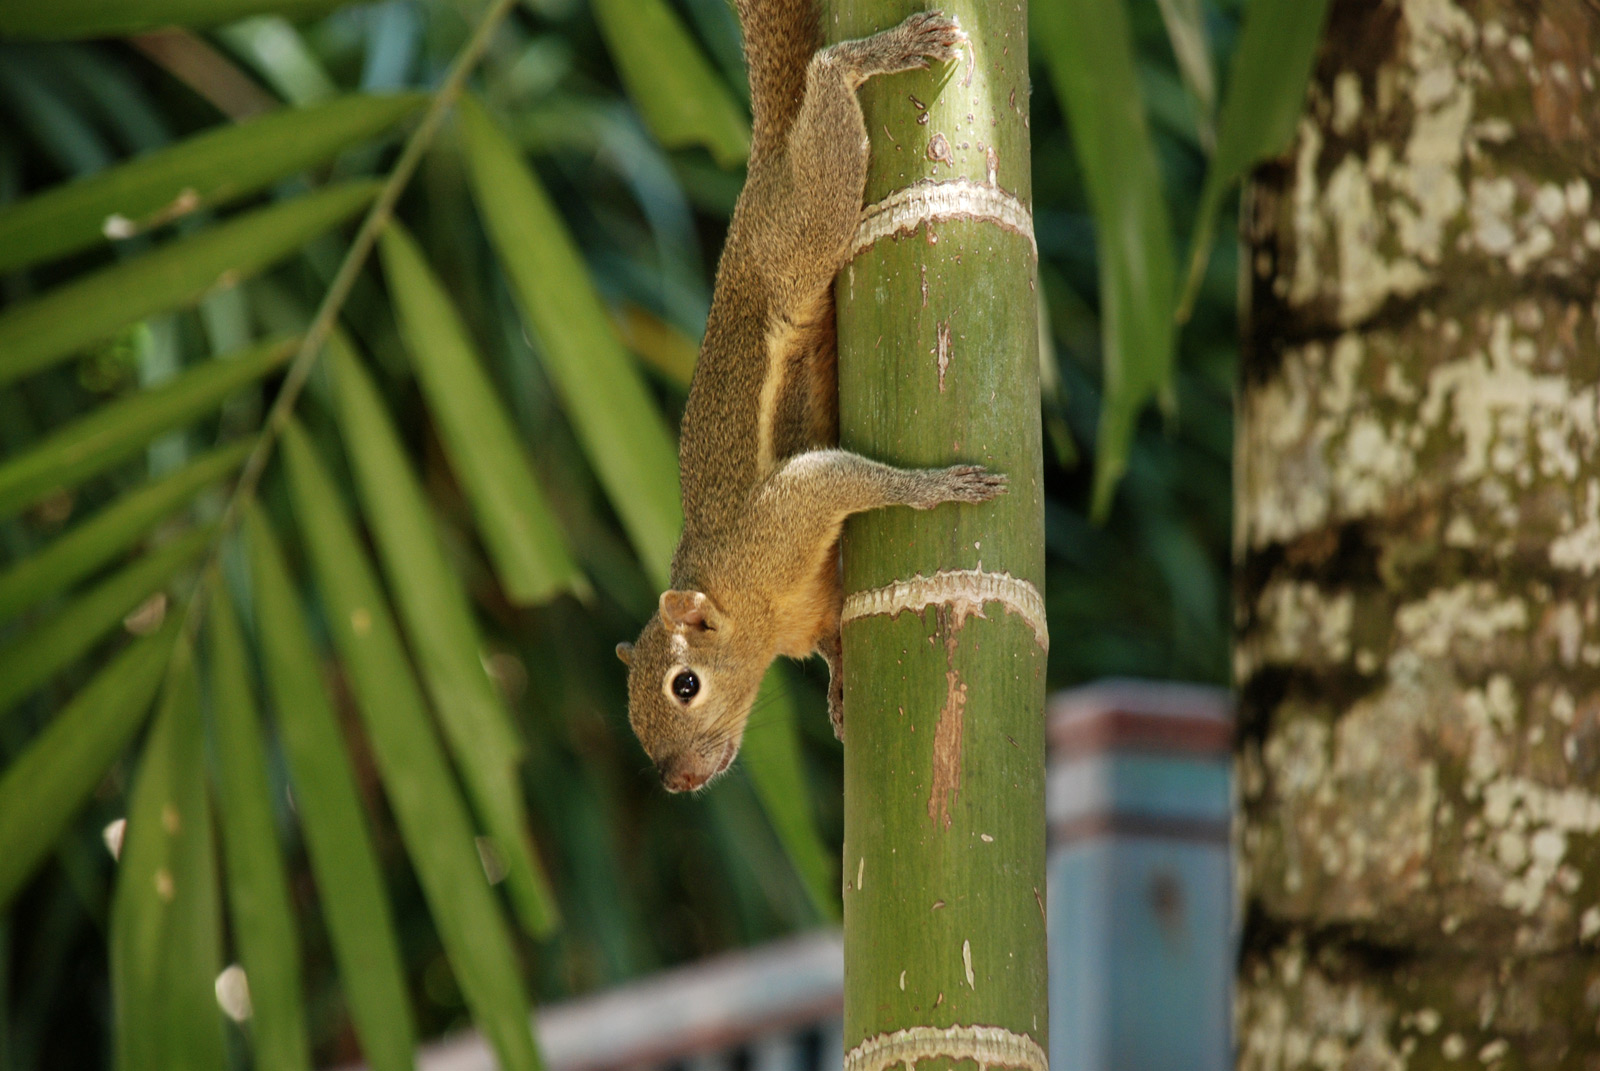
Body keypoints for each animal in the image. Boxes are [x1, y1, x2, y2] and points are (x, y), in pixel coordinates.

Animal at [617, 0, 1004, 784]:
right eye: (631, 712)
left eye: (685, 685)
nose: (676, 780)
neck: (755, 612)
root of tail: (764, 164)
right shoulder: (812, 604)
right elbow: (833, 639)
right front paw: (840, 686)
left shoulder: (781, 523)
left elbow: (841, 479)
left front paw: (936, 487)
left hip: (799, 237)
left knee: (828, 105)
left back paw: (873, 56)